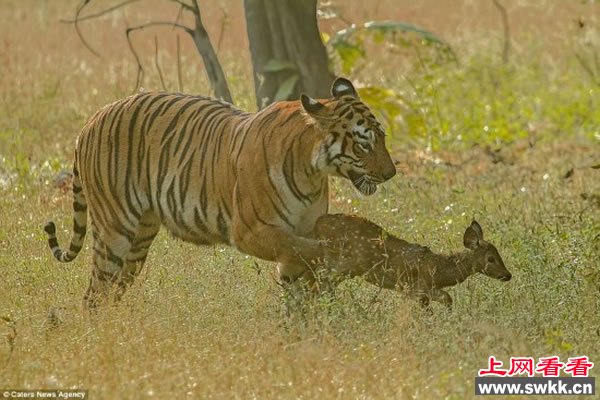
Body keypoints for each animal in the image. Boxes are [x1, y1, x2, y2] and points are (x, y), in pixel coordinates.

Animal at [44, 78, 396, 310]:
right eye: (364, 144)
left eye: (382, 138)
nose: (391, 173)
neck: (312, 171)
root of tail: (90, 121)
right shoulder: (250, 231)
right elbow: (301, 248)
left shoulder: (302, 228)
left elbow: (299, 288)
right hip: (115, 229)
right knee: (95, 293)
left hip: (139, 240)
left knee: (113, 290)